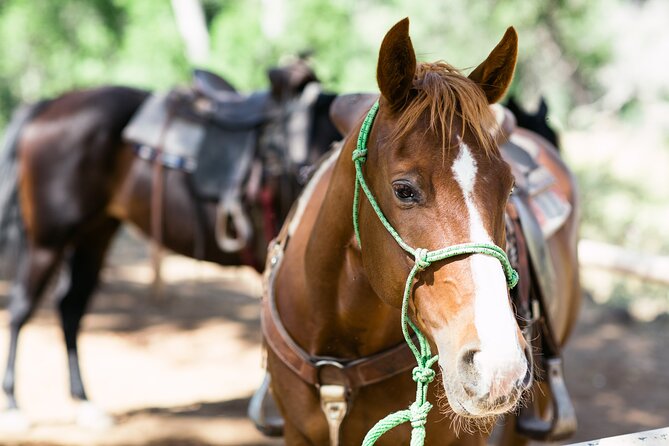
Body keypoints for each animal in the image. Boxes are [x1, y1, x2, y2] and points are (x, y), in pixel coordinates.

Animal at [0, 67, 342, 426]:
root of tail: (48, 106)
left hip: (94, 234)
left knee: (70, 308)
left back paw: (84, 403)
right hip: (48, 240)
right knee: (22, 307)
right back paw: (13, 403)